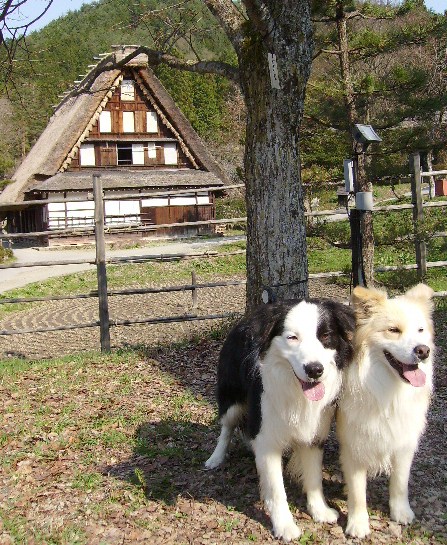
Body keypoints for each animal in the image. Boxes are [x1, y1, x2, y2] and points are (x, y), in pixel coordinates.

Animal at [206, 298, 356, 540]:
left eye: (325, 335)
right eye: (292, 337)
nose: (315, 369)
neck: (294, 390)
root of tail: (241, 322)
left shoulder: (314, 434)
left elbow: (314, 476)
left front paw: (319, 510)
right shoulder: (267, 438)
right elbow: (276, 490)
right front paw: (285, 526)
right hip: (232, 400)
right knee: (226, 428)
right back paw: (216, 458)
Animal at [338, 282, 436, 536]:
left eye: (420, 330)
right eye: (393, 330)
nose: (423, 351)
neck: (389, 389)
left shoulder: (403, 441)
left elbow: (400, 482)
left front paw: (401, 512)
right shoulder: (353, 443)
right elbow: (357, 491)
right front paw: (358, 523)